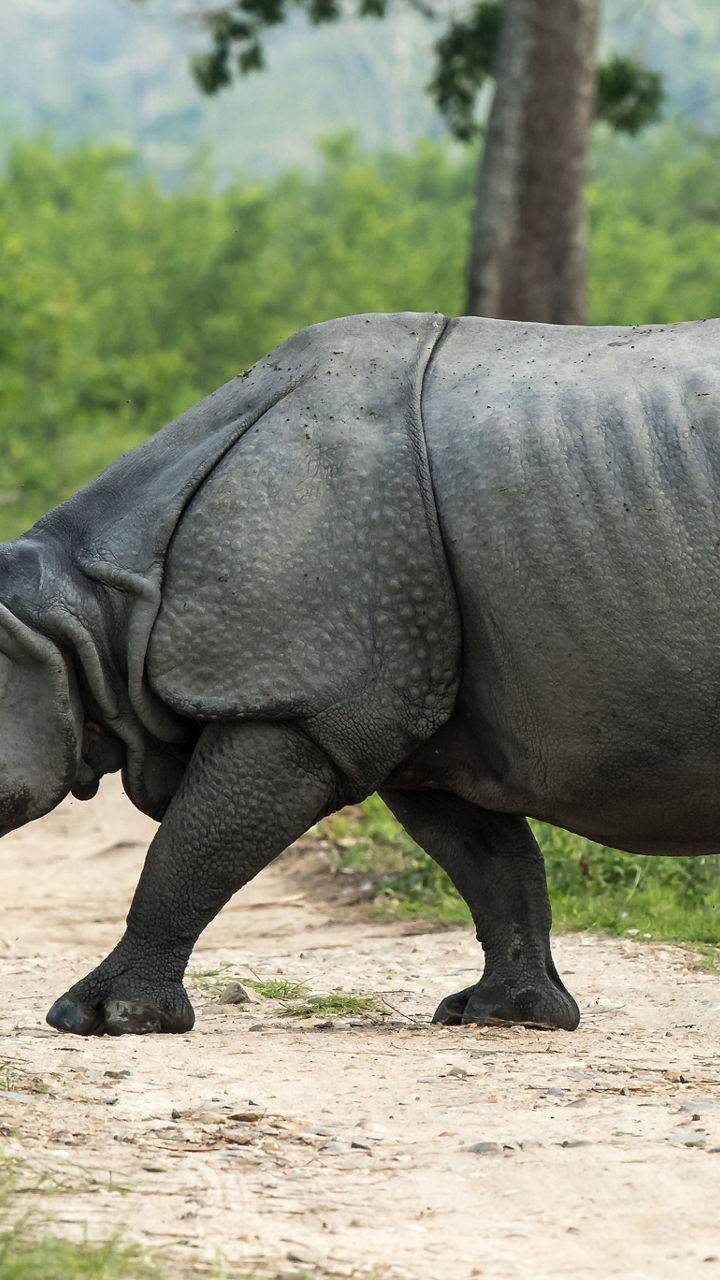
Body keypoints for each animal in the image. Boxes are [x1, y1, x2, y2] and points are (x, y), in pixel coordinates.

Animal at [1, 310, 717, 1037]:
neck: (76, 613)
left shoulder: (303, 704)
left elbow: (189, 851)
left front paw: (99, 1016)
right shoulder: (418, 717)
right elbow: (490, 861)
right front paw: (503, 1014)